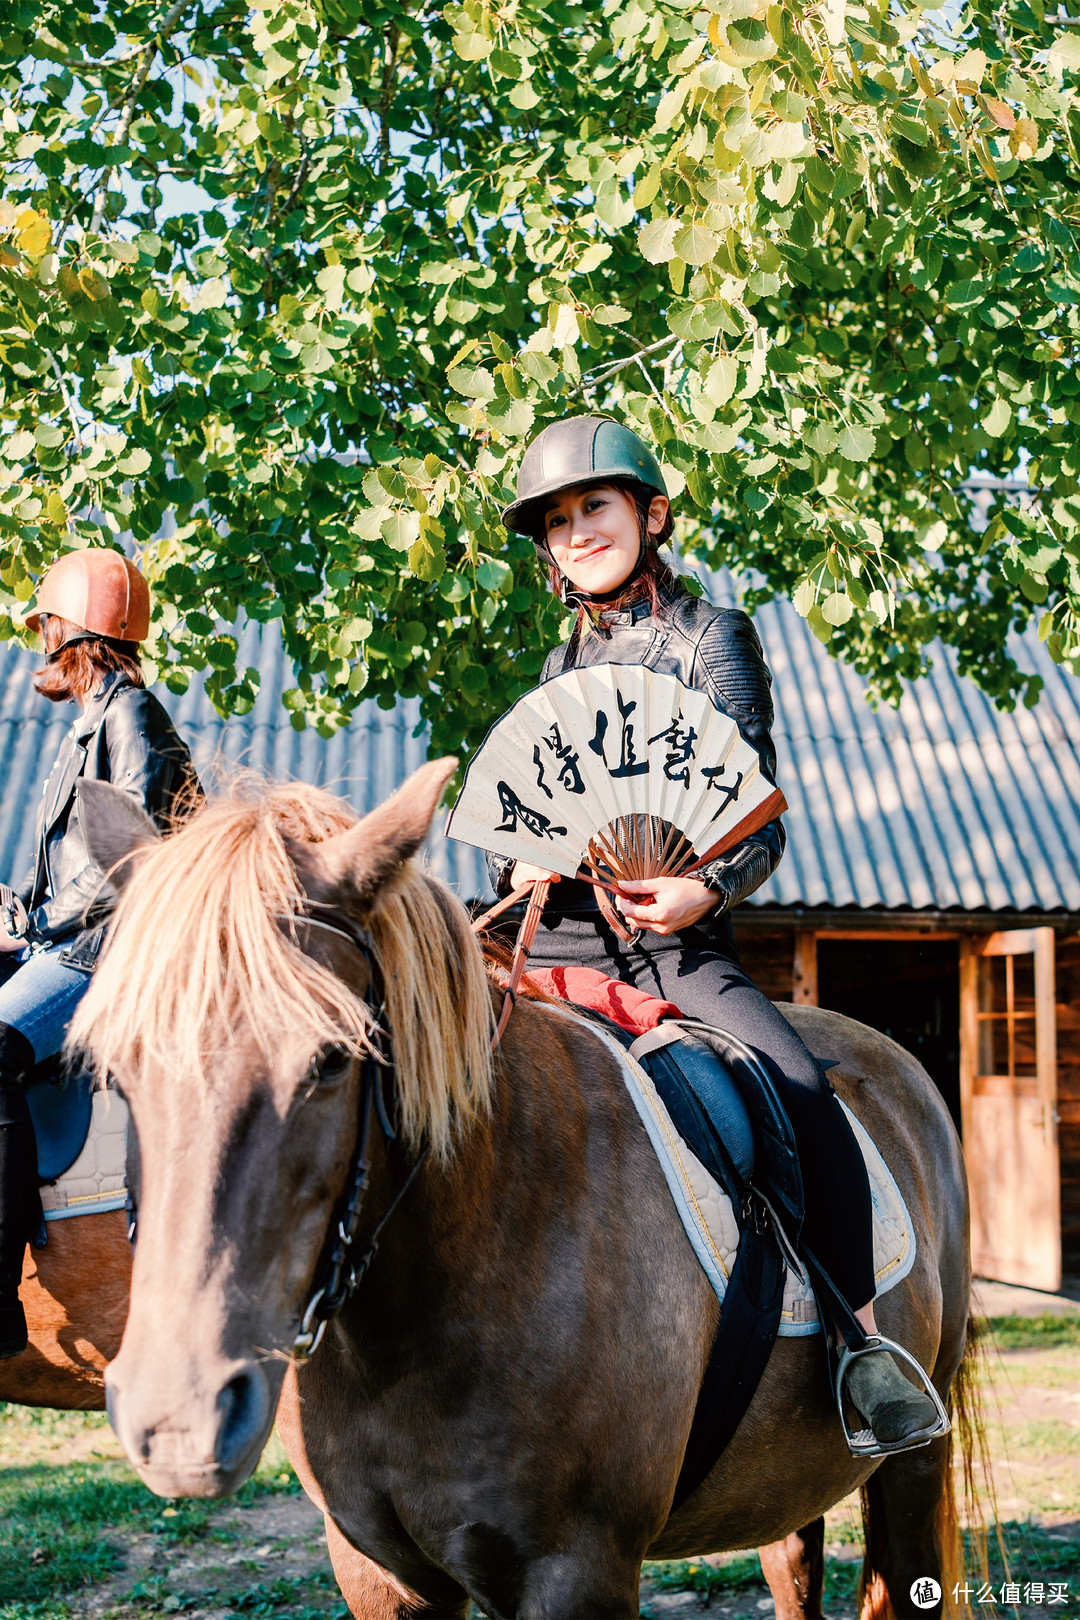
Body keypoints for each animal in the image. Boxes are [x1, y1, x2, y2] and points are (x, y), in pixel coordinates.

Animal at [67, 761, 977, 1620]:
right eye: (115, 1069)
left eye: (330, 1059)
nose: (179, 1419)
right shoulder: (380, 1576)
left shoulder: (575, 1572)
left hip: (915, 1462)